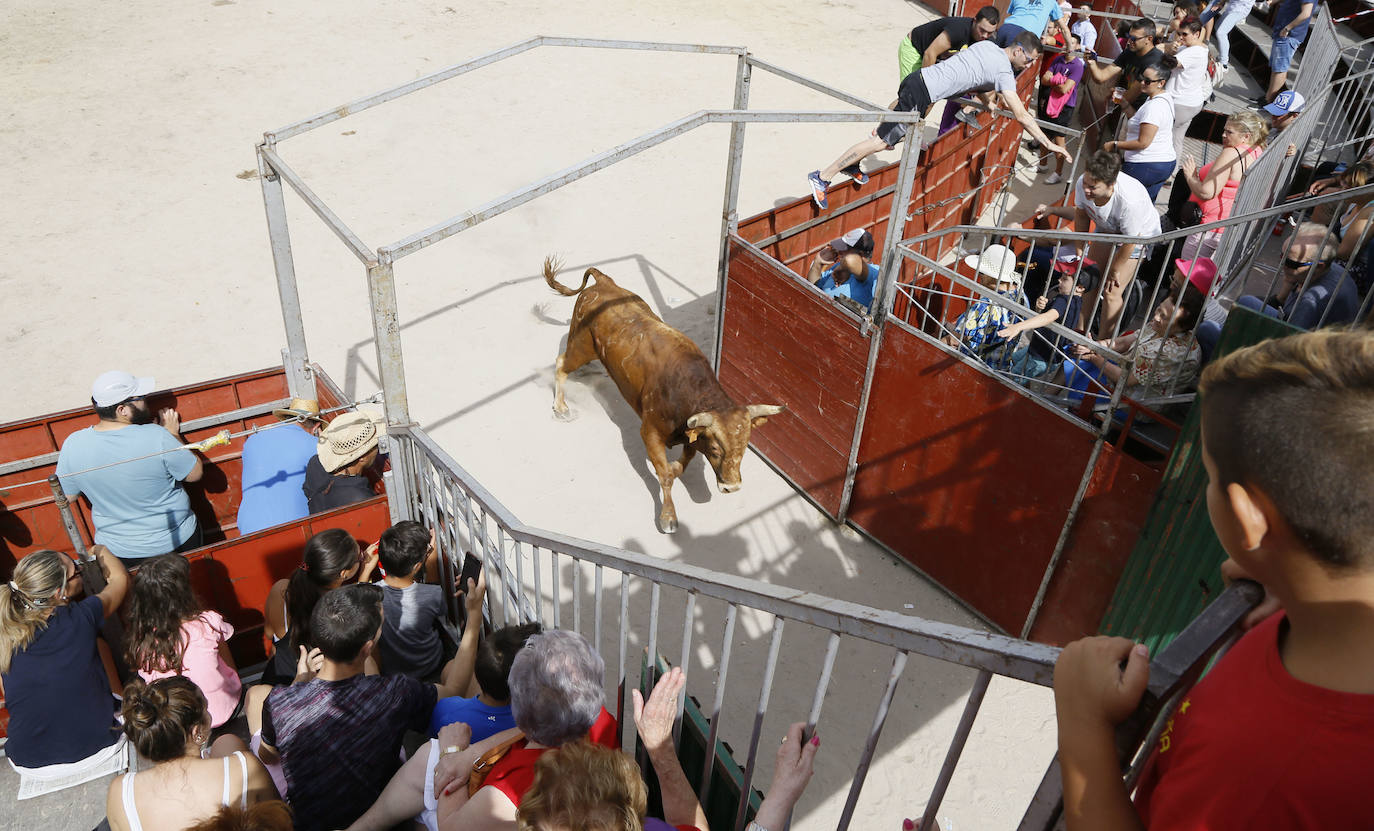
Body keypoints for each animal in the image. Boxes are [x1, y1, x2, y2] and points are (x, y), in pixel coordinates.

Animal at [544, 255, 785, 535]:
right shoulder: (649, 434)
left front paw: (677, 467)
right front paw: (668, 517)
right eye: (715, 448)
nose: (731, 487)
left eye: (745, 445)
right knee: (562, 364)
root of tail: (603, 283)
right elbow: (666, 476)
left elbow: (683, 462)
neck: (687, 389)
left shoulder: (689, 433)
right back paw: (561, 407)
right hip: (581, 345)